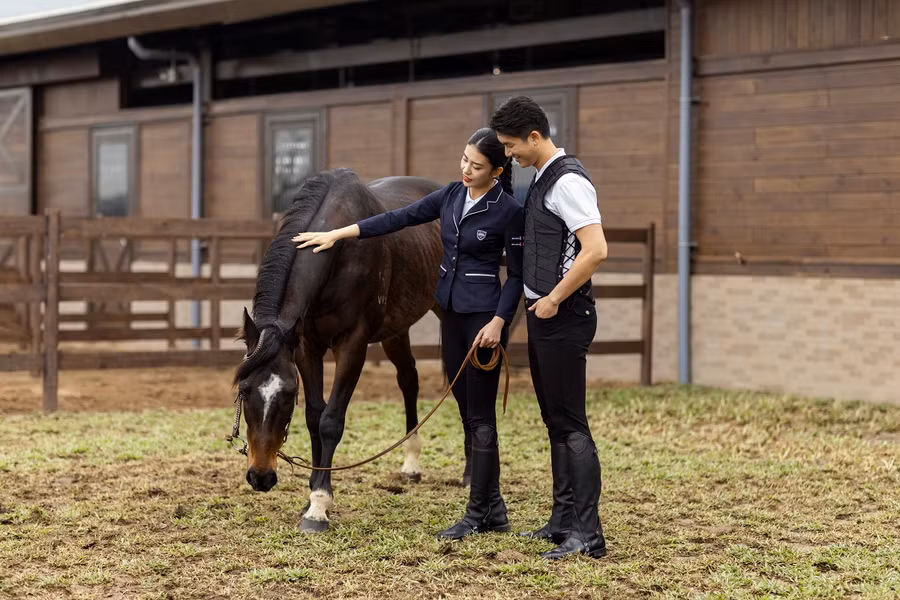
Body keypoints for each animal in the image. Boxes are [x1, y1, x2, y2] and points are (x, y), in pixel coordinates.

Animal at [234, 167, 445, 532]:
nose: (260, 476)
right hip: (396, 331)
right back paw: (411, 463)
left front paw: (319, 507)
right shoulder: (307, 347)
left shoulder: (352, 345)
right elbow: (314, 416)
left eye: (287, 395)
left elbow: (331, 420)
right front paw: (311, 497)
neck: (337, 250)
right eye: (245, 391)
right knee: (409, 379)